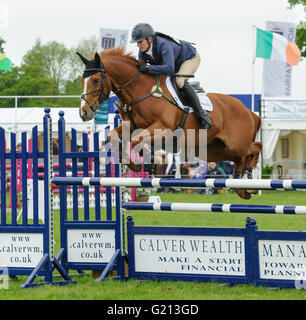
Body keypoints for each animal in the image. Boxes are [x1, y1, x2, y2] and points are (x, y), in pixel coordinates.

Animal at [77, 47, 262, 199]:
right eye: (82, 80)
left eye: (95, 80)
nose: (84, 112)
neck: (140, 90)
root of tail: (248, 111)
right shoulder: (132, 126)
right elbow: (112, 135)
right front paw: (132, 163)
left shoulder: (163, 130)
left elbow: (137, 140)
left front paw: (139, 162)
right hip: (214, 150)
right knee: (240, 158)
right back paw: (241, 187)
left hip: (235, 144)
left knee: (255, 148)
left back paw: (249, 179)